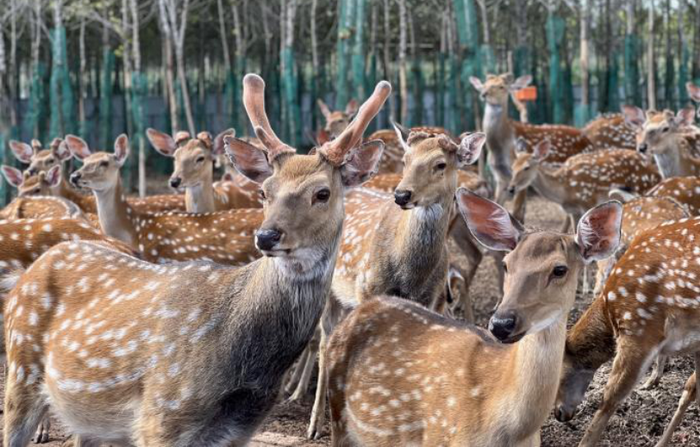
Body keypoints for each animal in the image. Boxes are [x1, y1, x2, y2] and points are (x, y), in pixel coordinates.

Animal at [0, 74, 392, 447]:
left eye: (322, 193)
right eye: (265, 191)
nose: (267, 236)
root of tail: (28, 275)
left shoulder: (236, 432)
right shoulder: (160, 414)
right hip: (20, 372)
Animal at [506, 141, 660, 226]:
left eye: (526, 167)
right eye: (512, 166)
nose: (511, 188)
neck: (564, 190)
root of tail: (657, 171)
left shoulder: (588, 202)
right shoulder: (572, 211)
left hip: (644, 188)